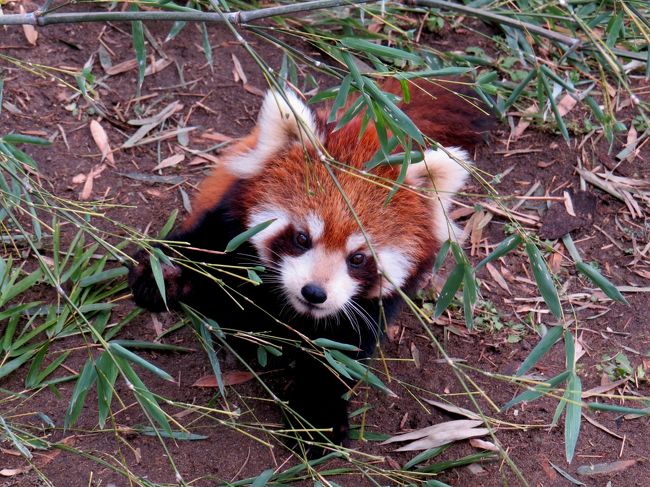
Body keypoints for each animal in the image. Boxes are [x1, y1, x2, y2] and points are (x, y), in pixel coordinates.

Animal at [129, 78, 488, 448]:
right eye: (302, 238)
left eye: (358, 258)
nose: (314, 293)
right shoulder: (227, 226)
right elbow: (204, 250)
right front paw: (162, 274)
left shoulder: (364, 314)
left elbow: (335, 361)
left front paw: (319, 422)